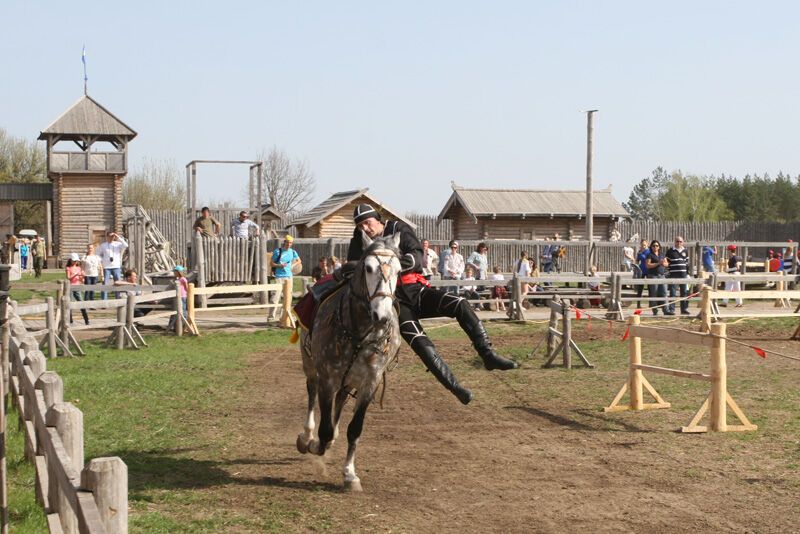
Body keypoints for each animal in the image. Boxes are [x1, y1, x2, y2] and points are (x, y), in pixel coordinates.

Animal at [296, 232, 404, 492]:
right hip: (310, 366)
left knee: (341, 400)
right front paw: (315, 444)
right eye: (368, 267)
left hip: (349, 380)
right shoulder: (327, 378)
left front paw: (349, 474)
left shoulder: (370, 382)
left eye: (399, 270)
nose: (382, 316)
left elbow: (354, 429)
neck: (360, 333)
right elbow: (324, 430)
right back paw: (307, 436)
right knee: (311, 393)